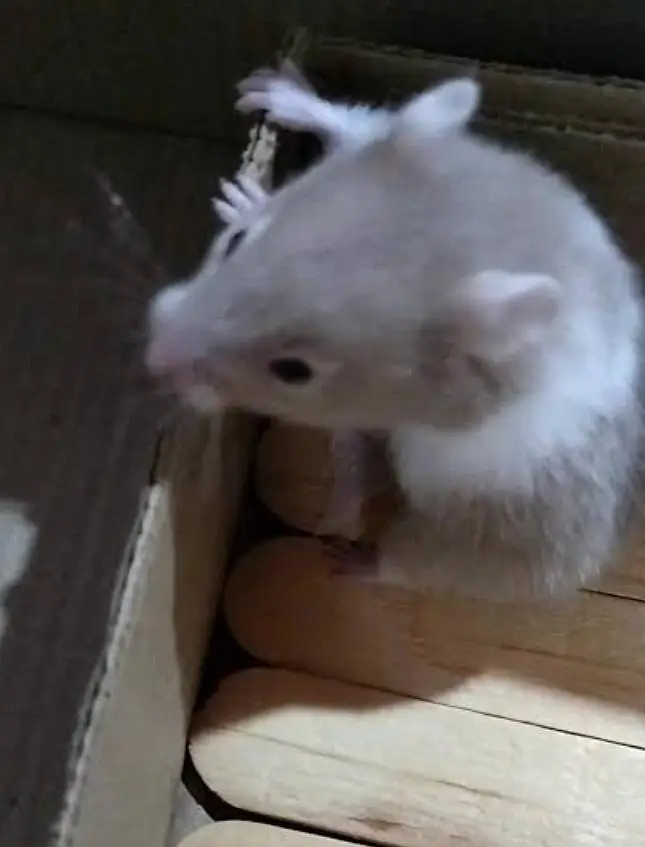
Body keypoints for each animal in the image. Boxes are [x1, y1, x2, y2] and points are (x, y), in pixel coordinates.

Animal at [145, 64, 645, 600]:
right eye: (237, 242)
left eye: (294, 371)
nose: (153, 353)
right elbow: (354, 122)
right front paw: (262, 95)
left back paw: (345, 548)